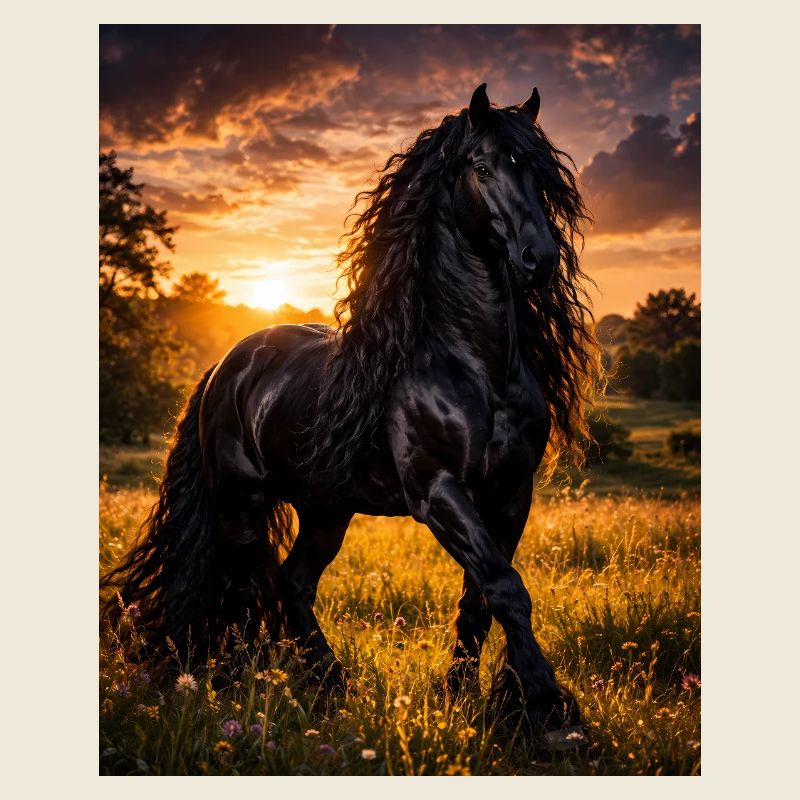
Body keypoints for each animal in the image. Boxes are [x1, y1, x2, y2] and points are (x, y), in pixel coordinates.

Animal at [101, 83, 601, 745]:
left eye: (540, 175)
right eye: (482, 167)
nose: (538, 257)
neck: (475, 367)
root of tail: (225, 367)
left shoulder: (512, 492)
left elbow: (482, 597)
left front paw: (472, 700)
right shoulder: (438, 492)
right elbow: (506, 588)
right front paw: (546, 710)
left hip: (326, 510)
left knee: (291, 585)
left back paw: (332, 686)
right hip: (240, 504)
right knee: (242, 586)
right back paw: (241, 682)